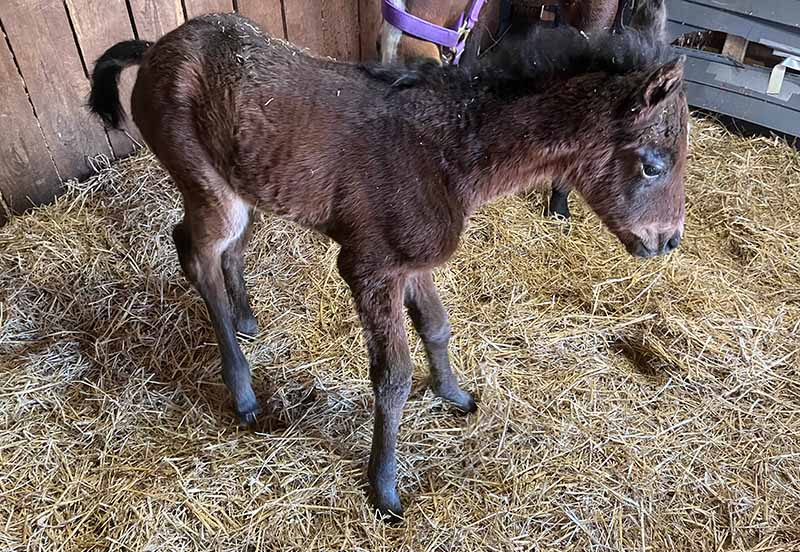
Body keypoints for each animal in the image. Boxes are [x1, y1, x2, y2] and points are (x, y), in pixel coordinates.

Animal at [87, 14, 688, 520]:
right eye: (653, 165)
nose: (665, 241)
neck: (447, 154)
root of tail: (158, 47)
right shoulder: (369, 266)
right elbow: (393, 374)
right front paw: (385, 488)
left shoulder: (414, 260)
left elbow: (437, 326)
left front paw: (455, 396)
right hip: (207, 185)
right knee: (196, 253)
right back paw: (242, 391)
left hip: (245, 180)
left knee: (226, 249)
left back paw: (247, 321)